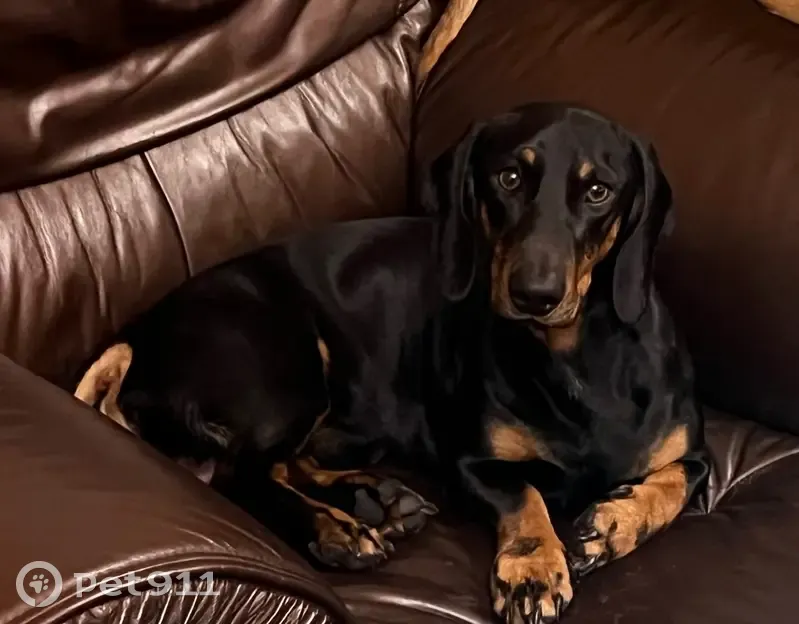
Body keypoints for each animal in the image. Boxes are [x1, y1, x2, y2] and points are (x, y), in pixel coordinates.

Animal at [75, 102, 709, 622]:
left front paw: (612, 523)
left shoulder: (694, 451)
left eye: (599, 190)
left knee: (285, 464)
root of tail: (138, 339)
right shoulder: (471, 462)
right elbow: (524, 493)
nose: (534, 294)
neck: (576, 362)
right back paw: (336, 529)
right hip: (288, 374)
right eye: (509, 178)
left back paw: (376, 498)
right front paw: (532, 566)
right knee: (242, 475)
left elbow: (676, 482)